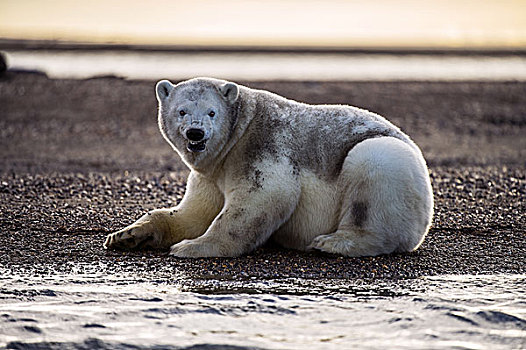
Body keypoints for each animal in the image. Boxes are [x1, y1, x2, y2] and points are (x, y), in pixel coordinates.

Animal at [103, 77, 434, 258]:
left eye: (211, 112)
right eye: (181, 111)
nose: (195, 134)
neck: (239, 130)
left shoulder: (261, 145)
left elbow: (260, 199)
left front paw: (193, 247)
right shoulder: (212, 173)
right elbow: (193, 213)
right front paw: (127, 235)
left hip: (388, 161)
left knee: (372, 168)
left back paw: (333, 243)